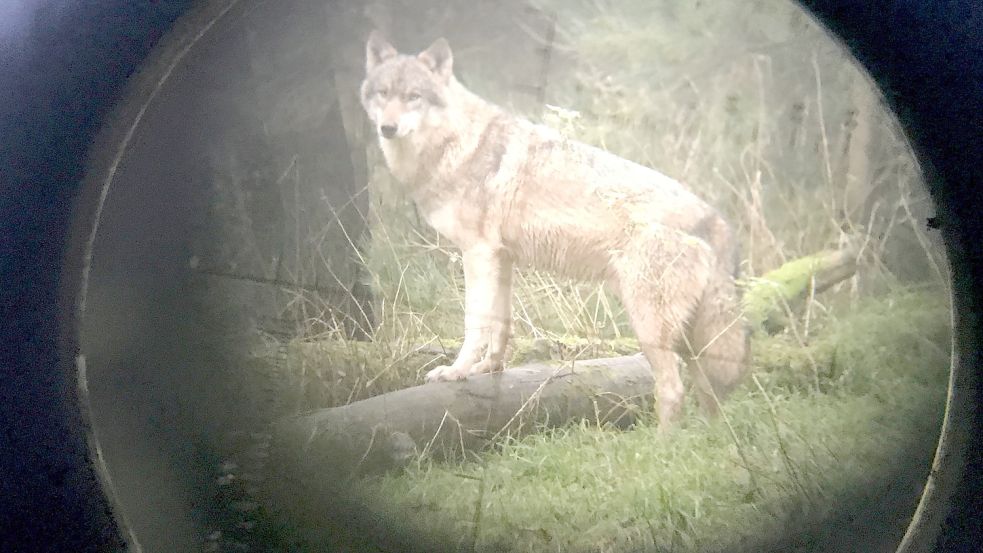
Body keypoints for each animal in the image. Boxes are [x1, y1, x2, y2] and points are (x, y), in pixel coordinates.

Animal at [360, 32, 748, 426]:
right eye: (383, 93)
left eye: (413, 96)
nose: (387, 128)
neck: (456, 144)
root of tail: (716, 219)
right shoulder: (502, 258)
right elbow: (501, 323)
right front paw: (490, 368)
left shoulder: (478, 254)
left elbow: (475, 323)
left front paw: (457, 372)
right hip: (687, 340)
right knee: (710, 395)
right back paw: (707, 438)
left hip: (649, 328)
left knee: (673, 391)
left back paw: (664, 442)